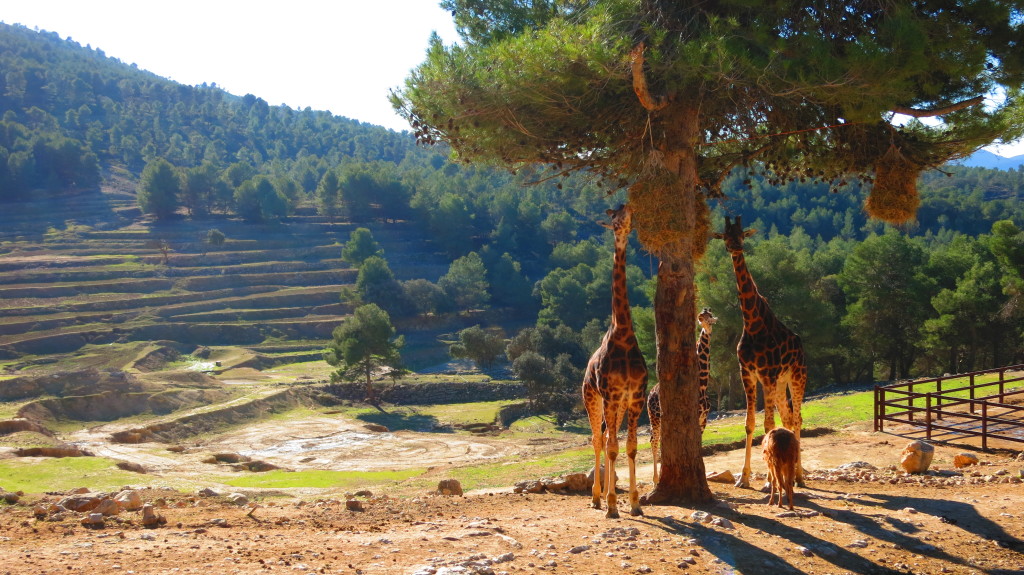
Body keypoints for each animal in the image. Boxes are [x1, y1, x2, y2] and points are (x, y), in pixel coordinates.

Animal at [643, 306, 716, 480]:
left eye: (710, 316)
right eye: (702, 317)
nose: (707, 323)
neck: (702, 385)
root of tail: (650, 394)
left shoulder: (704, 418)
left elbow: (699, 444)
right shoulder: (694, 416)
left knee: (659, 439)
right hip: (654, 416)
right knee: (653, 439)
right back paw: (655, 479)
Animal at [712, 216, 806, 484]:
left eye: (742, 234)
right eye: (725, 235)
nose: (735, 247)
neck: (752, 324)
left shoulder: (768, 374)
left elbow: (767, 425)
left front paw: (767, 479)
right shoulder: (747, 374)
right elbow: (749, 423)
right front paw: (744, 477)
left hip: (797, 376)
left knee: (797, 419)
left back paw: (799, 475)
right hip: (781, 382)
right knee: (788, 418)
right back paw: (793, 470)